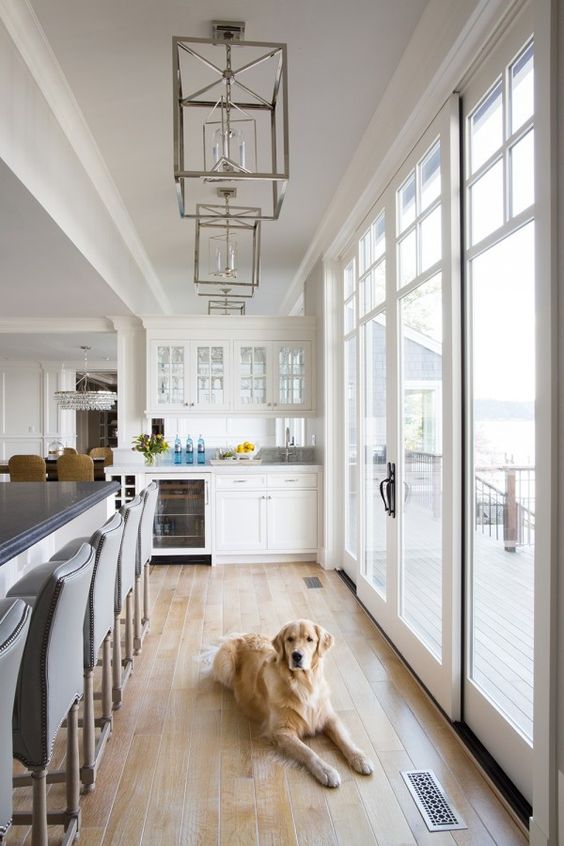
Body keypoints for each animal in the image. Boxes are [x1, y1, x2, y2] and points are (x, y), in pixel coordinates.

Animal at [212, 616, 374, 788]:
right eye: (290, 639)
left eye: (310, 639)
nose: (296, 656)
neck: (303, 684)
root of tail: (240, 635)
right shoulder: (281, 731)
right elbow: (308, 751)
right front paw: (326, 771)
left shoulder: (328, 716)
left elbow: (344, 739)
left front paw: (360, 758)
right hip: (226, 665)